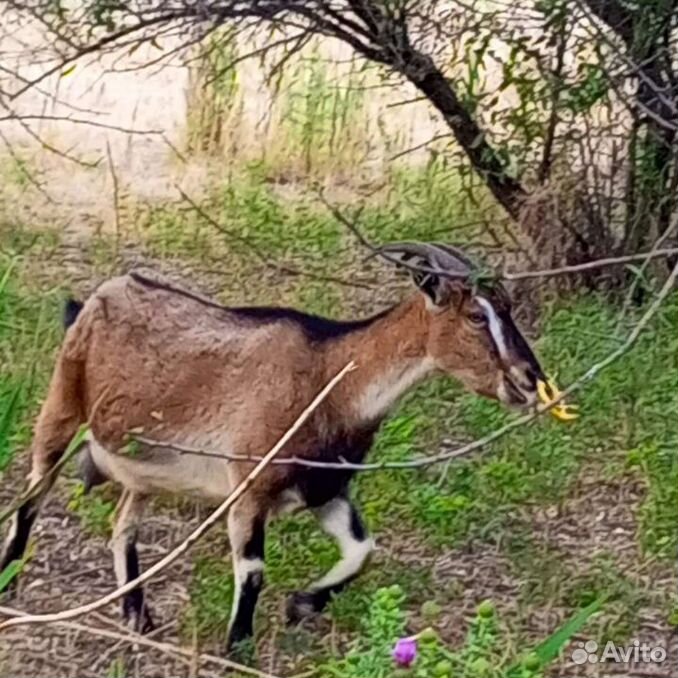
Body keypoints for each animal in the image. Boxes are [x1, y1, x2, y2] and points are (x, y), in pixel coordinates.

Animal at [0, 244, 544, 652]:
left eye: (507, 308)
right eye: (476, 315)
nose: (529, 378)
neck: (329, 378)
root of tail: (89, 301)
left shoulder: (324, 489)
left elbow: (363, 549)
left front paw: (301, 605)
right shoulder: (250, 485)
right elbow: (254, 570)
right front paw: (238, 648)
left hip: (145, 467)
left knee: (122, 525)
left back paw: (138, 615)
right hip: (62, 406)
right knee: (32, 496)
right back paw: (10, 580)